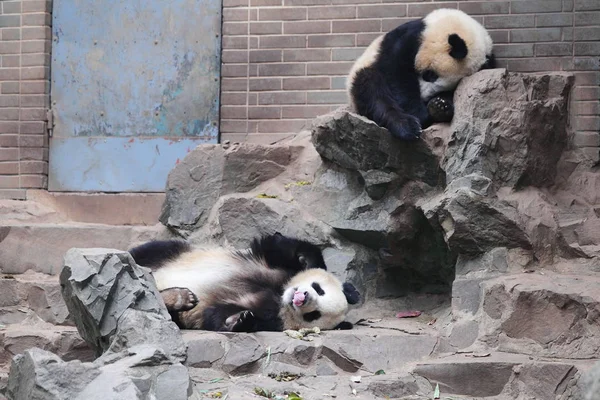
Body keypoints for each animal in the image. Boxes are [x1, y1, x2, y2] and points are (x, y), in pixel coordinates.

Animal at [128, 231, 358, 332]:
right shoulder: (271, 263)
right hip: (171, 253)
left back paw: (180, 298)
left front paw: (240, 319)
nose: (301, 297)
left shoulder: (272, 316)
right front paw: (306, 260)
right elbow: (280, 246)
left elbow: (216, 314)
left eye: (314, 315)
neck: (279, 293)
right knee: (143, 254)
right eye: (319, 289)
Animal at [346, 7, 496, 141]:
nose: (424, 98)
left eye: (451, 87)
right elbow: (398, 73)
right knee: (373, 91)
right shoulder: (408, 39)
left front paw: (440, 106)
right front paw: (421, 114)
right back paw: (407, 127)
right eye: (430, 74)